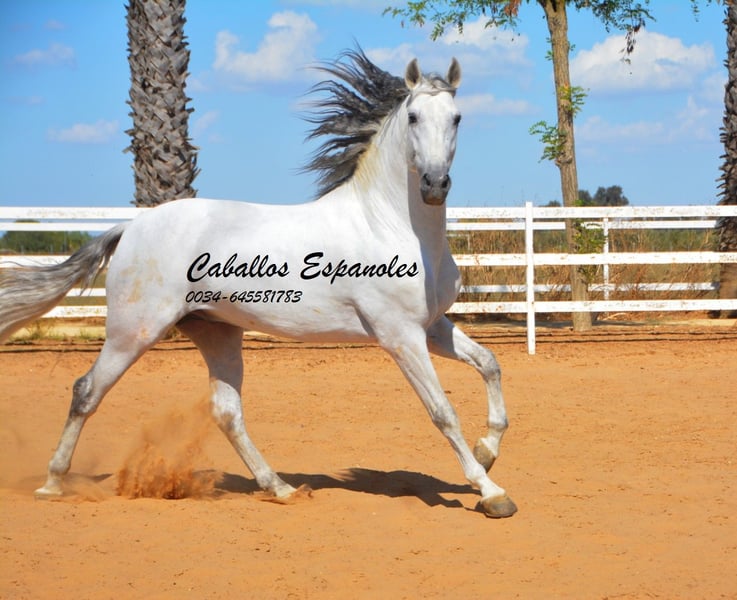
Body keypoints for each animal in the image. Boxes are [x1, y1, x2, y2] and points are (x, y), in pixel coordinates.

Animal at [0, 49, 516, 518]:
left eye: (457, 118)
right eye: (412, 116)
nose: (434, 184)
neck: (392, 225)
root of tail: (132, 226)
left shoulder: (431, 326)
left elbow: (490, 364)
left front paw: (488, 450)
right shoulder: (399, 335)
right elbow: (443, 412)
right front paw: (492, 493)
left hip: (216, 332)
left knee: (227, 413)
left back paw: (281, 488)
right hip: (134, 330)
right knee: (86, 391)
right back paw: (52, 483)